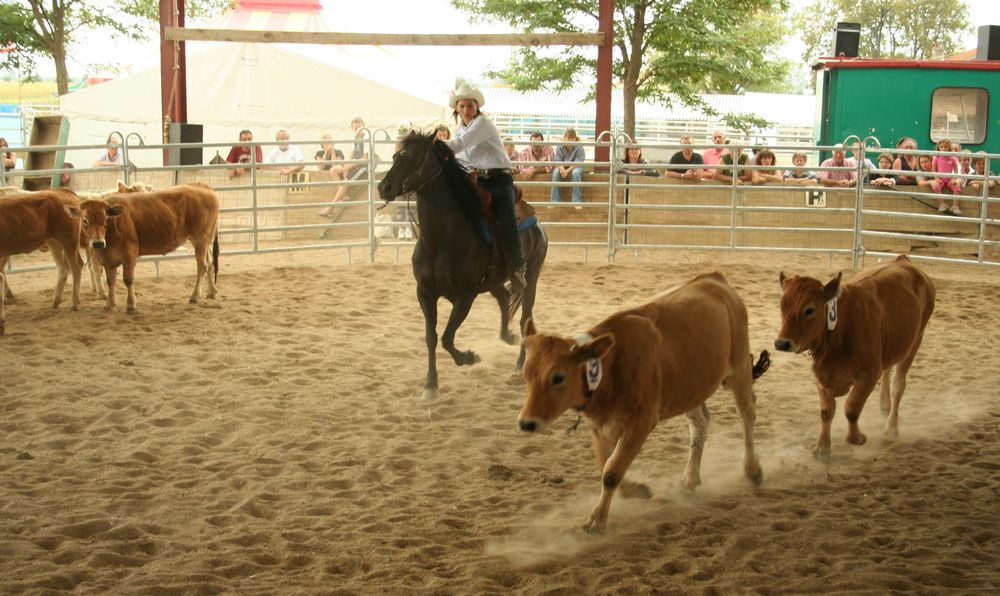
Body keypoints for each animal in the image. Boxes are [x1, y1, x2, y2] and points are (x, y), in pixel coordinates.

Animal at [0, 189, 84, 332]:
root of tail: (62, 191)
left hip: (69, 241)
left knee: (76, 268)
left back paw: (74, 304)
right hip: (54, 242)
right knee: (64, 268)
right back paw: (55, 302)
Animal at [75, 183, 220, 314]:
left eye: (105, 220)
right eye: (85, 221)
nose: (98, 243)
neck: (114, 224)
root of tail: (201, 186)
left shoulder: (129, 253)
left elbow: (128, 279)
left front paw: (131, 305)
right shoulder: (108, 258)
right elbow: (110, 280)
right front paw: (110, 304)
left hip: (201, 239)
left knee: (202, 266)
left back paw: (195, 296)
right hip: (203, 241)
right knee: (210, 263)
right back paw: (211, 292)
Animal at [376, 132, 548, 400]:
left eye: (414, 157)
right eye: (395, 156)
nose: (383, 187)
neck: (441, 240)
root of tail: (537, 222)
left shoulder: (465, 295)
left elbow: (447, 338)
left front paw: (468, 357)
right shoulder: (424, 292)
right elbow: (432, 337)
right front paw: (431, 385)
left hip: (532, 277)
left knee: (525, 320)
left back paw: (520, 365)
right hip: (493, 280)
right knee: (504, 297)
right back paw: (506, 336)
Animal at [516, 272, 764, 532]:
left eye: (558, 377)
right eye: (526, 373)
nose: (526, 423)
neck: (610, 367)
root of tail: (715, 279)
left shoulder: (640, 423)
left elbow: (612, 470)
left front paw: (597, 520)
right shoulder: (600, 425)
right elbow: (607, 465)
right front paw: (638, 490)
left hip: (739, 367)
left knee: (747, 412)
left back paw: (752, 470)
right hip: (689, 387)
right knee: (700, 424)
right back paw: (689, 479)